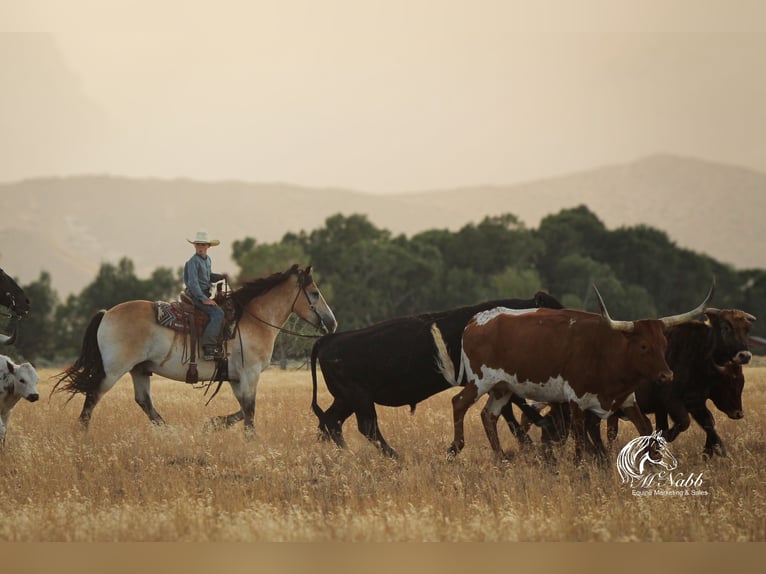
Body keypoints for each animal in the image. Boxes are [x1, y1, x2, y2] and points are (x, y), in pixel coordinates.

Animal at [53, 264, 337, 435]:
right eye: (314, 292)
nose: (332, 323)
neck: (253, 319)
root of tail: (107, 313)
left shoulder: (235, 378)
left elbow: (243, 410)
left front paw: (215, 424)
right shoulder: (250, 373)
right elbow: (250, 410)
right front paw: (248, 439)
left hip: (139, 370)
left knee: (145, 403)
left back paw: (170, 434)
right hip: (113, 371)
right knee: (92, 399)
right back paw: (83, 436)